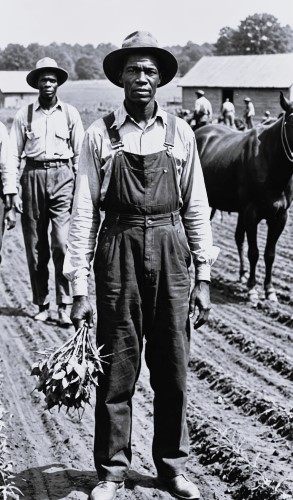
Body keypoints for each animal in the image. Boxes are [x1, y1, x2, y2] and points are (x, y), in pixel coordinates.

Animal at [194, 93, 292, 304]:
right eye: (292, 119)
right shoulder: (251, 213)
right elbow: (253, 252)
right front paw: (252, 289)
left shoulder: (280, 216)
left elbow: (269, 254)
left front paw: (269, 290)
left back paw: (241, 273)